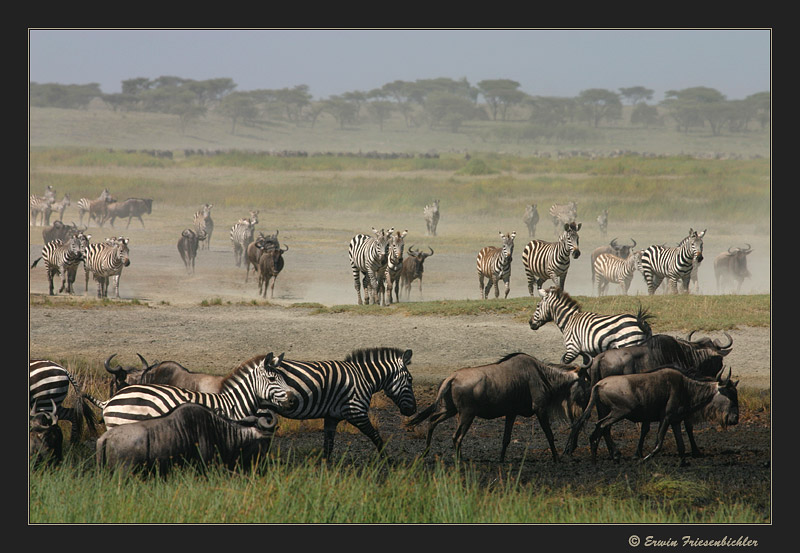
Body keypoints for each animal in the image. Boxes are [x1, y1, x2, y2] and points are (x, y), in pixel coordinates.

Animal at [250, 348, 416, 460]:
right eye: (410, 379)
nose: (413, 410)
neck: (363, 378)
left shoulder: (332, 417)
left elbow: (328, 444)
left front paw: (326, 469)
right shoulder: (356, 412)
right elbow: (375, 435)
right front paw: (388, 460)